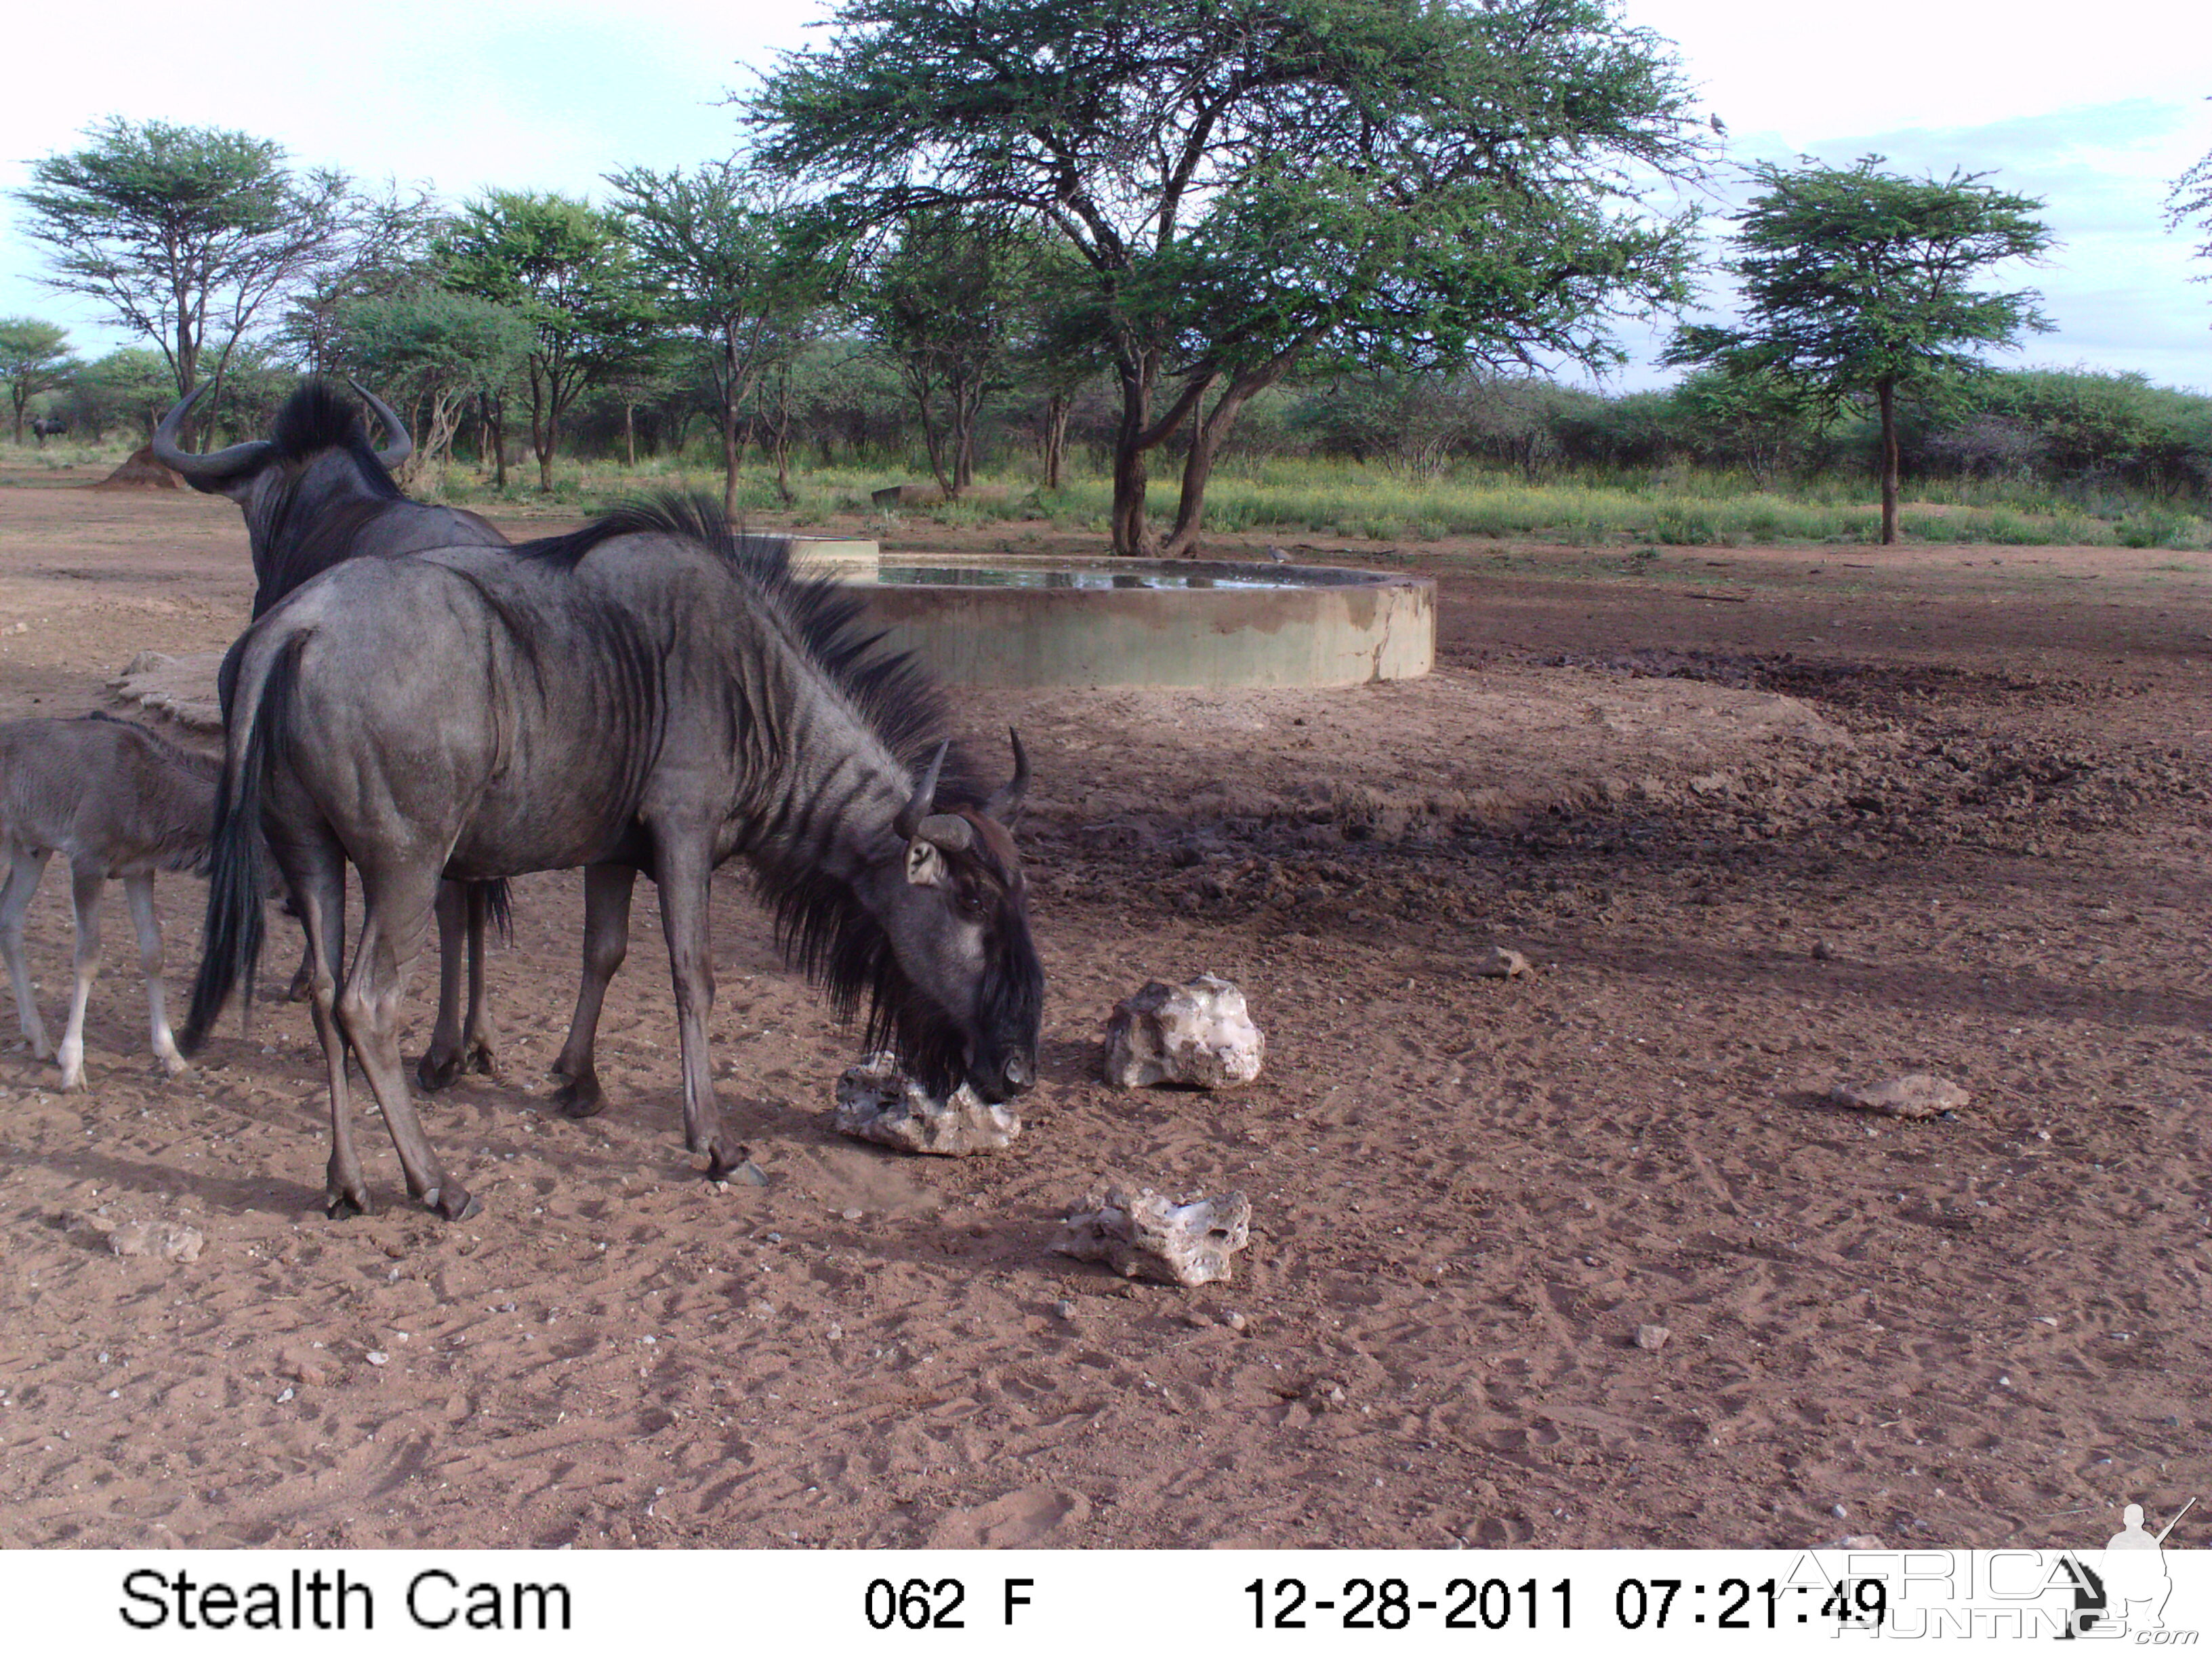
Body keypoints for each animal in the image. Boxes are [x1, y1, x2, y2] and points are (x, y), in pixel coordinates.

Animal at [1, 716, 218, 1092]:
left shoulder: (139, 868)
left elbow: (154, 951)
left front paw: (172, 1057)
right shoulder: (88, 858)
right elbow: (88, 958)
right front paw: (72, 1066)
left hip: (31, 848)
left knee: (9, 918)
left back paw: (38, 1038)